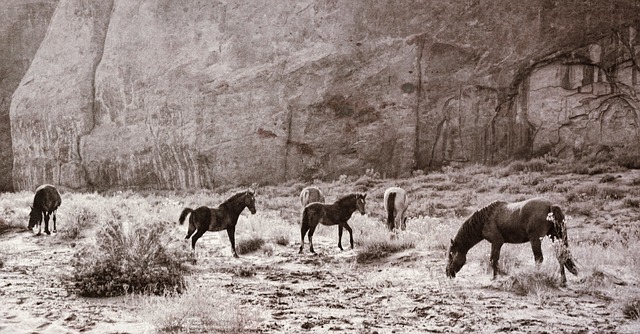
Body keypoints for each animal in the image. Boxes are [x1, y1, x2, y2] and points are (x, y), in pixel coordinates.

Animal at [444, 197, 580, 286]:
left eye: (451, 254)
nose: (447, 273)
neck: (484, 220)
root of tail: (550, 206)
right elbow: (495, 260)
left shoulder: (496, 242)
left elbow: (493, 260)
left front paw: (494, 278)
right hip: (555, 237)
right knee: (561, 256)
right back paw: (563, 281)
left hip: (536, 240)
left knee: (539, 259)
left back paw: (537, 276)